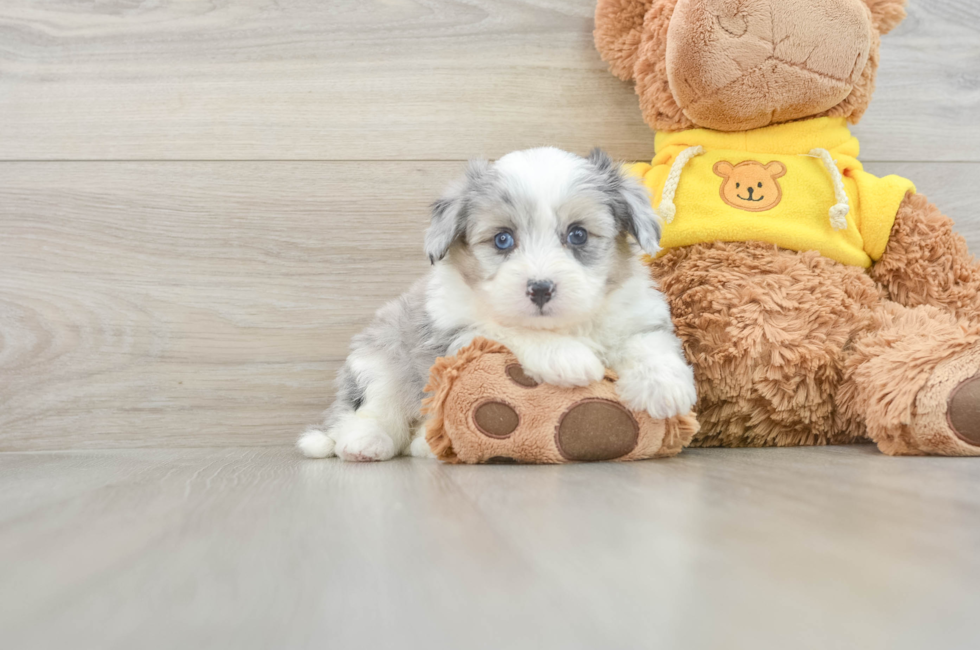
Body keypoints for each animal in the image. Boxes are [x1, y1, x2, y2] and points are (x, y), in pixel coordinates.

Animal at [298, 147, 696, 460]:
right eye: (503, 239)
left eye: (578, 234)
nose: (540, 289)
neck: (566, 324)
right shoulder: (457, 329)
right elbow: (508, 328)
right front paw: (569, 358)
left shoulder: (634, 313)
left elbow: (648, 342)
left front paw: (664, 387)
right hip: (378, 361)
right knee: (371, 411)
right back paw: (366, 443)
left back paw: (424, 444)